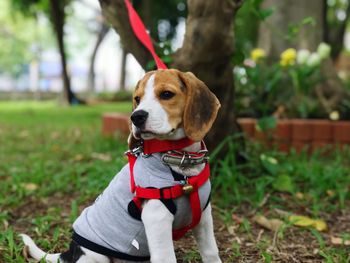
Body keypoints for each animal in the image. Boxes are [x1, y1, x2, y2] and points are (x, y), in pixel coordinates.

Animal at [21, 69, 223, 263]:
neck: (179, 159)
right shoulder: (157, 217)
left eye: (166, 94)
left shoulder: (204, 216)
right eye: (137, 99)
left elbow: (211, 253)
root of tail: (71, 252)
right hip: (97, 256)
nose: (136, 117)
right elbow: (166, 258)